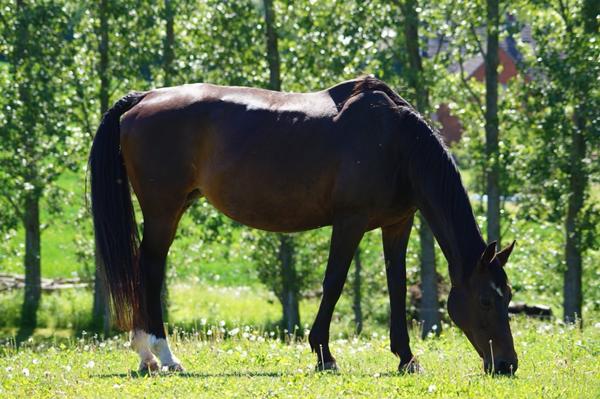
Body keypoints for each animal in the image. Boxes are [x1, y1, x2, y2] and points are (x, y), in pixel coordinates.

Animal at [88, 75, 516, 376]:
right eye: (485, 300)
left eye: (508, 296)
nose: (507, 364)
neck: (396, 143)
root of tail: (144, 98)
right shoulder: (350, 222)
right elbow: (334, 283)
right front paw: (324, 354)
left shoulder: (398, 223)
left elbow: (396, 287)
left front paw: (406, 357)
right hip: (164, 211)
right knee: (150, 270)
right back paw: (163, 355)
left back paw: (147, 357)